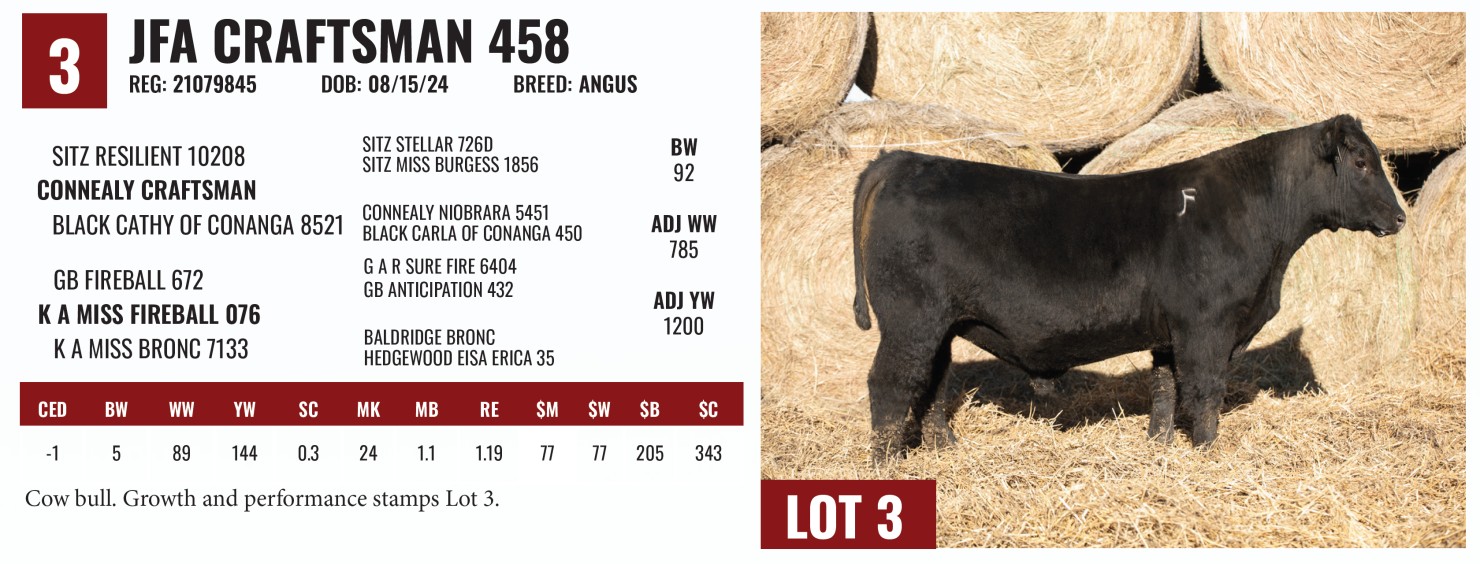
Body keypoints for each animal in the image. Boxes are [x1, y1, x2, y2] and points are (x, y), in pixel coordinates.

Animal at [851, 115, 1405, 463]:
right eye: (1360, 161)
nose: (1400, 216)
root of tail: (901, 160)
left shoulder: (1169, 333)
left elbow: (1164, 390)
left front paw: (1159, 447)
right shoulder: (1207, 327)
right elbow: (1204, 392)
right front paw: (1208, 454)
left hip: (939, 326)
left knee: (931, 383)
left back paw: (943, 451)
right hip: (911, 321)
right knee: (891, 384)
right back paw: (887, 464)